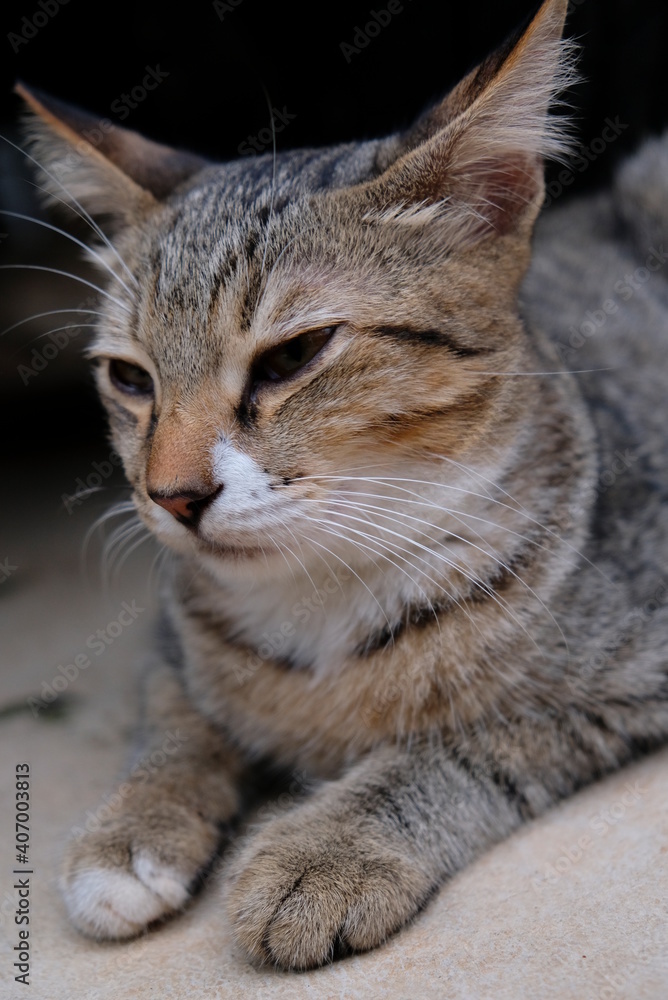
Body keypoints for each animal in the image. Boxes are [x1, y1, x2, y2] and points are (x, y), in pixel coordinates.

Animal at [14, 0, 668, 972]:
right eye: (129, 379)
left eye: (293, 356)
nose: (172, 496)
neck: (319, 592)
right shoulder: (172, 641)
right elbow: (177, 715)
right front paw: (131, 829)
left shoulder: (618, 679)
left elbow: (465, 741)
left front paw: (328, 850)